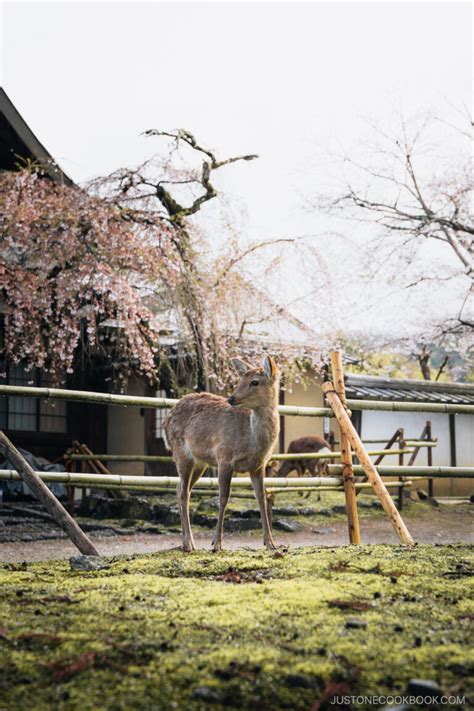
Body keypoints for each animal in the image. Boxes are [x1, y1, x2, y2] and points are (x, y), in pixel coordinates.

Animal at [164, 358, 280, 552]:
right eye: (241, 378)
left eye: (255, 381)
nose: (231, 398)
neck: (251, 440)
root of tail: (166, 419)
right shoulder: (224, 458)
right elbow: (224, 497)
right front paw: (216, 544)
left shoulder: (258, 466)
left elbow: (261, 498)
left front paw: (271, 543)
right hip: (181, 454)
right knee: (183, 492)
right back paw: (190, 543)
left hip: (200, 463)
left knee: (181, 489)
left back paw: (187, 542)